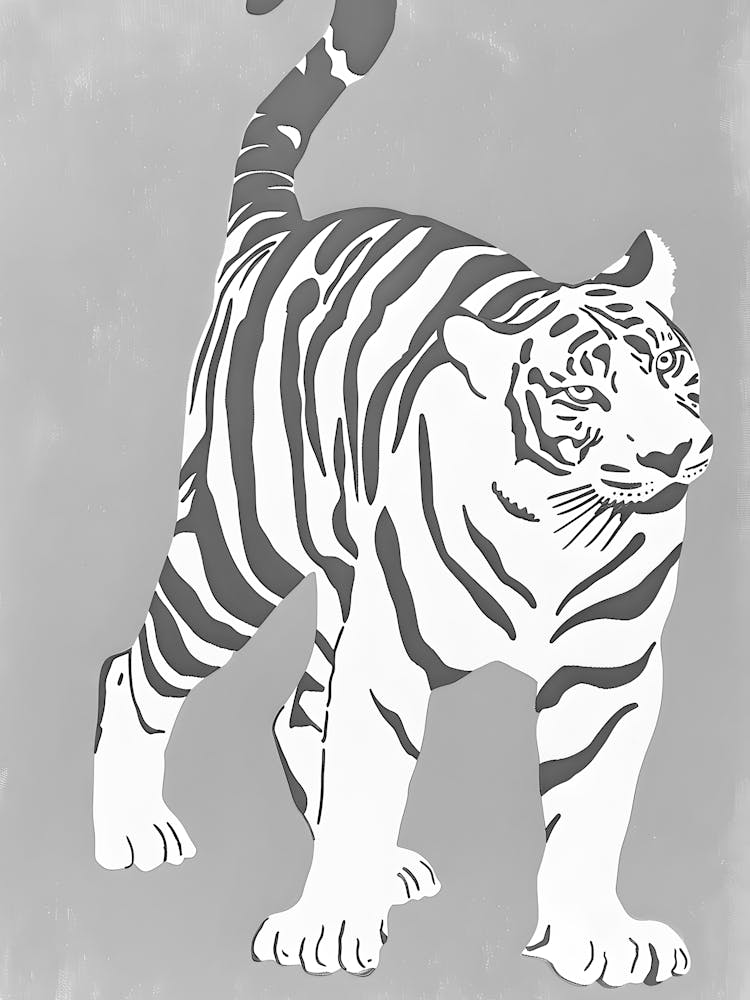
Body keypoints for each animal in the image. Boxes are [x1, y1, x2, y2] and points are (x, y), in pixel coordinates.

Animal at [92, 0, 712, 987]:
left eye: (668, 370)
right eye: (584, 394)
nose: (673, 451)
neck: (561, 529)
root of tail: (280, 230)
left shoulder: (609, 672)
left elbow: (590, 815)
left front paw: (597, 939)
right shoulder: (388, 659)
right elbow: (366, 782)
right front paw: (325, 930)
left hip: (343, 588)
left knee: (298, 710)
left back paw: (382, 871)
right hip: (236, 557)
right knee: (137, 671)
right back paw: (131, 830)